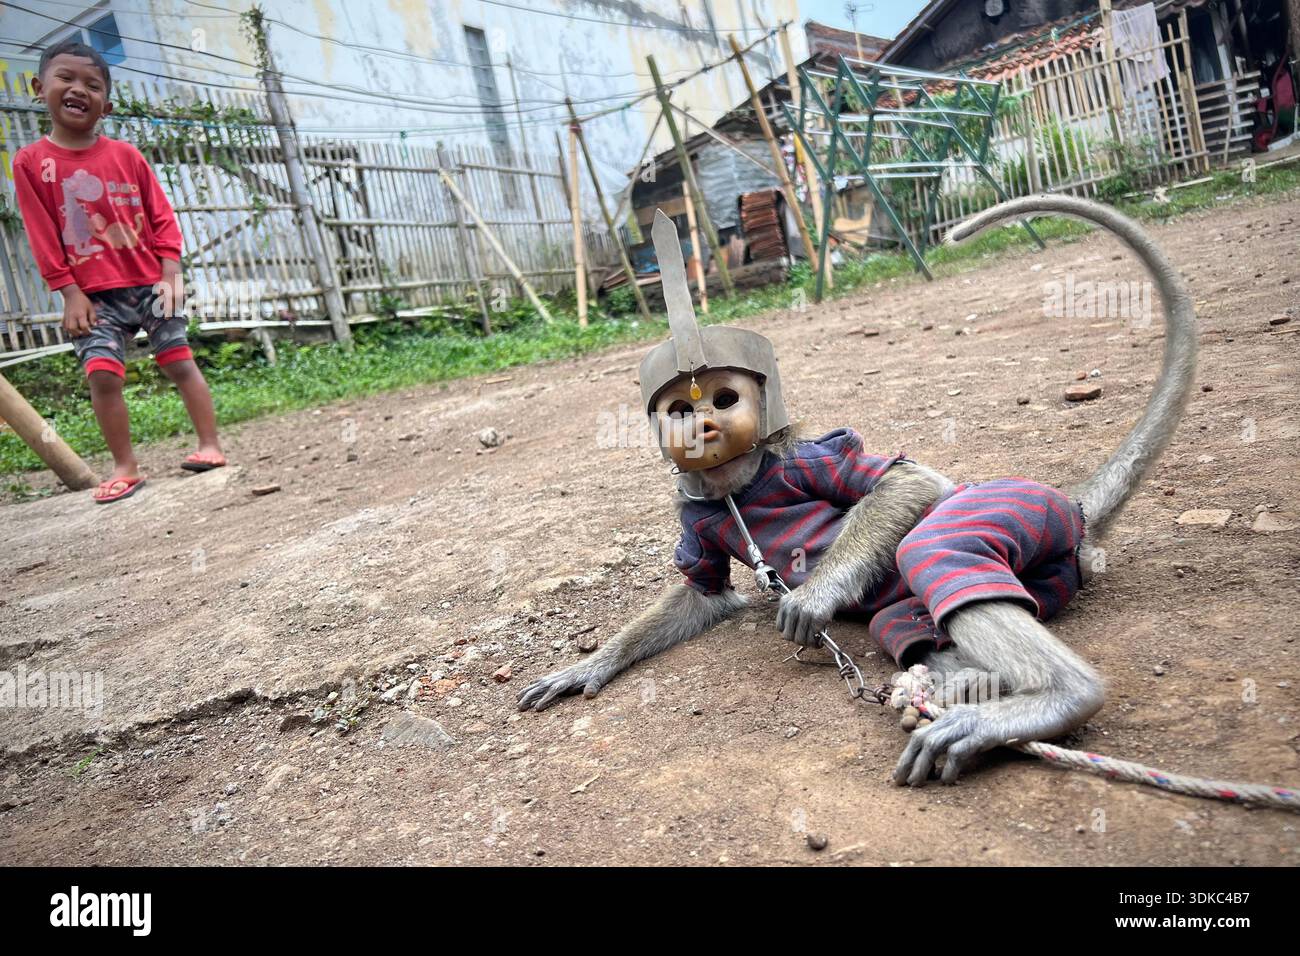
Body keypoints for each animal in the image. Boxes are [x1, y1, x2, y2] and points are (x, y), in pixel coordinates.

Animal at [517, 195, 1197, 787]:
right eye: (679, 411)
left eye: (723, 398)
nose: (703, 425)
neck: (738, 481)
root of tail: (1074, 507)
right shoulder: (696, 510)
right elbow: (705, 594)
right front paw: (588, 665)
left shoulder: (805, 454)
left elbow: (908, 478)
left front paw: (814, 597)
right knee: (907, 623)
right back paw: (958, 690)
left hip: (1017, 504)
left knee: (932, 545)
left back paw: (1057, 697)